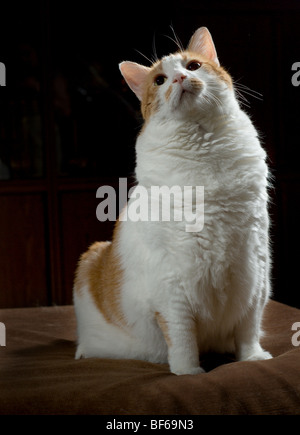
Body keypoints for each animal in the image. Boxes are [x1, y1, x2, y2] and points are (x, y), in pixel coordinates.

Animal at [72, 26, 272, 374]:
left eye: (193, 66)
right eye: (160, 80)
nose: (179, 78)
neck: (205, 153)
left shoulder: (254, 274)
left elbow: (248, 327)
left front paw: (251, 359)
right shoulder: (172, 291)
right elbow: (182, 339)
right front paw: (189, 373)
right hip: (91, 256)